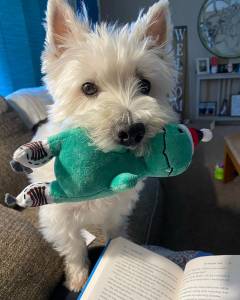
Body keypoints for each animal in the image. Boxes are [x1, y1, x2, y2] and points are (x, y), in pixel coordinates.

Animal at [29, 0, 176, 290]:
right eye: (88, 88)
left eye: (145, 85)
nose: (132, 131)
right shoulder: (59, 218)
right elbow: (74, 246)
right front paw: (77, 277)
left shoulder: (116, 209)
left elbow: (114, 233)